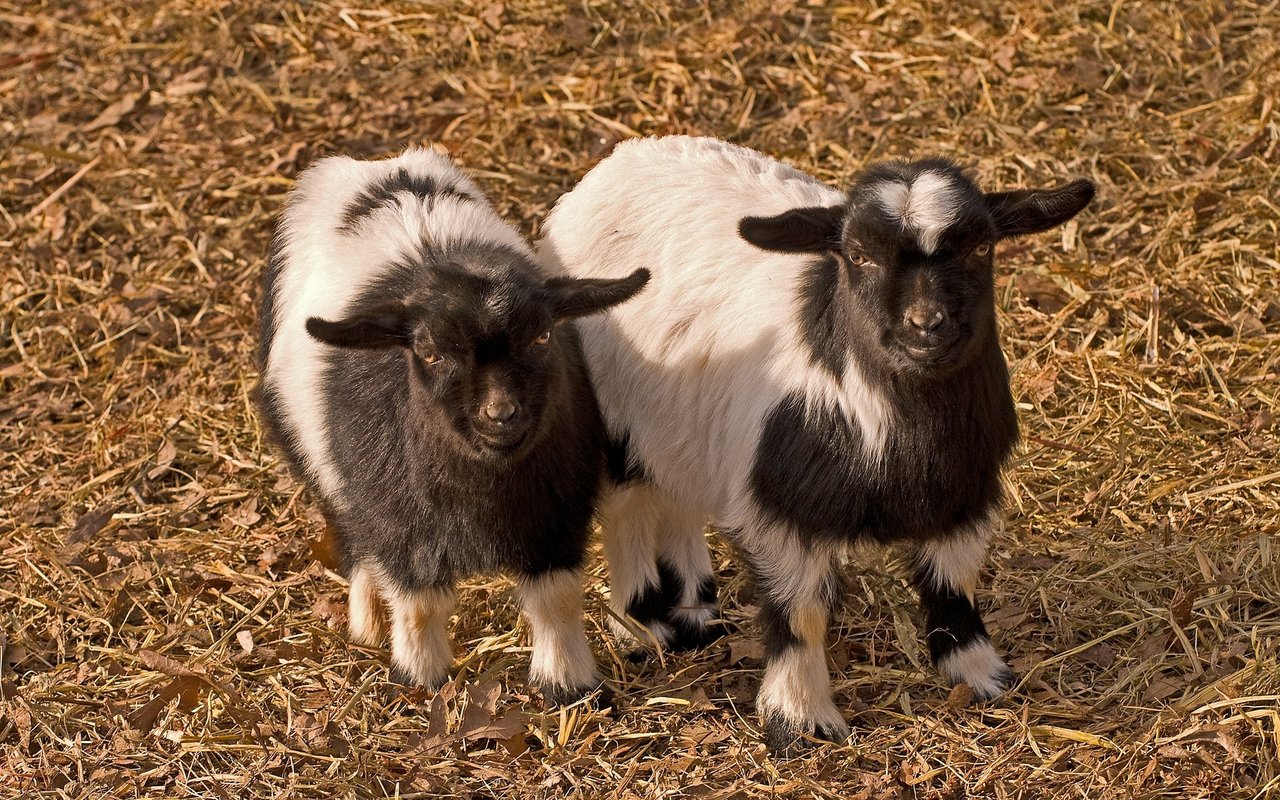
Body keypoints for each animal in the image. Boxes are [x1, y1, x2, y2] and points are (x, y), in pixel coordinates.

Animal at [256, 146, 650, 701]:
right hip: (318, 465)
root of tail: (378, 166)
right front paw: (419, 676)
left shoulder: (556, 514)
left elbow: (556, 599)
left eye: (543, 336)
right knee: (351, 538)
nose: (501, 413)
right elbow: (420, 604)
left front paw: (567, 681)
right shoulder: (400, 524)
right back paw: (367, 620)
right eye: (429, 353)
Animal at [535, 138, 1095, 747]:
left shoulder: (963, 489)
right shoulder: (783, 510)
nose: (927, 325)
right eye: (858, 255)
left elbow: (954, 582)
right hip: (613, 411)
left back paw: (695, 613)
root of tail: (624, 156)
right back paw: (645, 623)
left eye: (981, 247)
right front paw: (800, 719)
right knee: (629, 505)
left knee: (678, 490)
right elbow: (800, 612)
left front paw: (980, 674)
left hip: (683, 419)